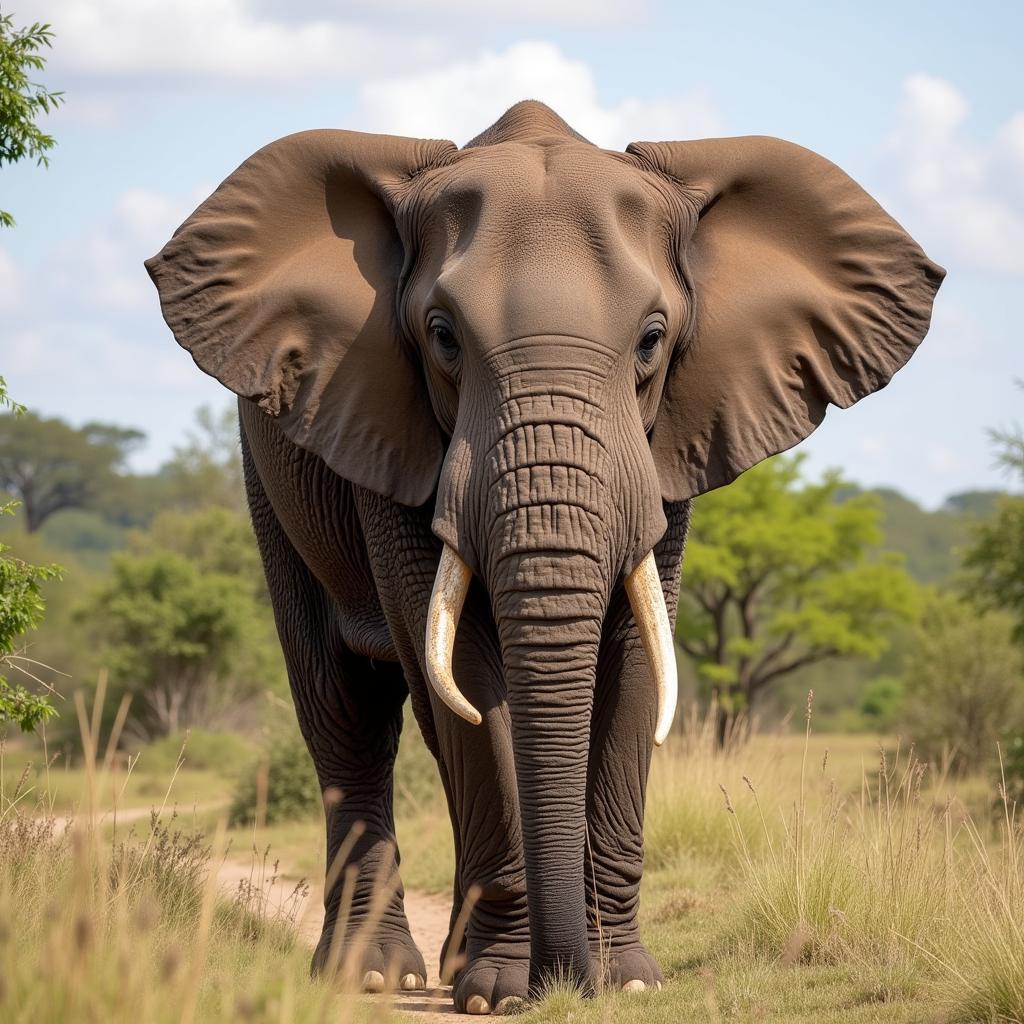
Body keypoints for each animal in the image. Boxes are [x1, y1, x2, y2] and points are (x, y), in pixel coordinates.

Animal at [146, 99, 942, 1011]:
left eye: (652, 341)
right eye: (442, 338)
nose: (569, 980)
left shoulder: (664, 453)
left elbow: (635, 664)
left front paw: (625, 982)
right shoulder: (387, 425)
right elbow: (465, 677)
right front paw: (498, 991)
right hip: (272, 476)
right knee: (345, 708)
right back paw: (378, 973)